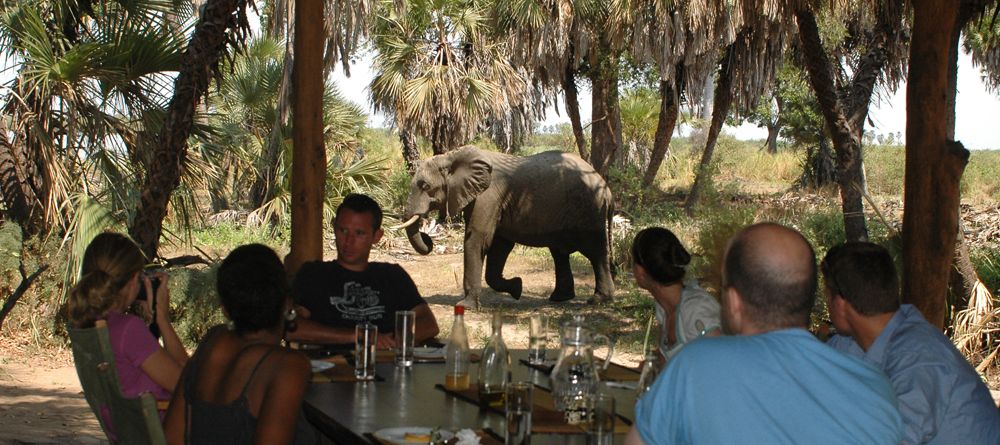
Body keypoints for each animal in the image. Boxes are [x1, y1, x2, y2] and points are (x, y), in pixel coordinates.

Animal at [399, 145, 615, 308]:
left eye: (425, 186)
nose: (428, 238)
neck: (452, 156)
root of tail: (607, 188)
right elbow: (499, 246)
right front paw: (517, 287)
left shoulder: (488, 196)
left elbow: (477, 239)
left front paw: (465, 306)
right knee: (559, 253)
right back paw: (559, 298)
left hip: (589, 208)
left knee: (595, 251)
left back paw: (598, 300)